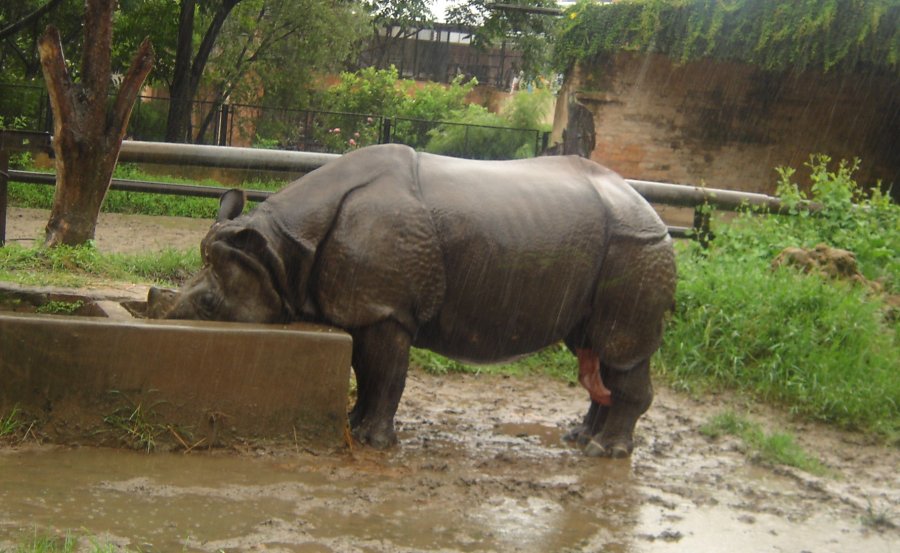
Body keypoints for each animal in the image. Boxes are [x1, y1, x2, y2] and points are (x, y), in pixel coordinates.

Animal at [162, 144, 676, 457]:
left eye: (209, 306)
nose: (171, 319)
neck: (282, 249)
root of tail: (647, 205)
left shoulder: (387, 309)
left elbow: (386, 374)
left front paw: (372, 442)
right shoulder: (364, 305)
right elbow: (365, 372)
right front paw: (355, 423)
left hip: (637, 247)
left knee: (620, 351)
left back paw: (604, 451)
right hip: (615, 245)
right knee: (594, 350)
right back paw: (580, 437)